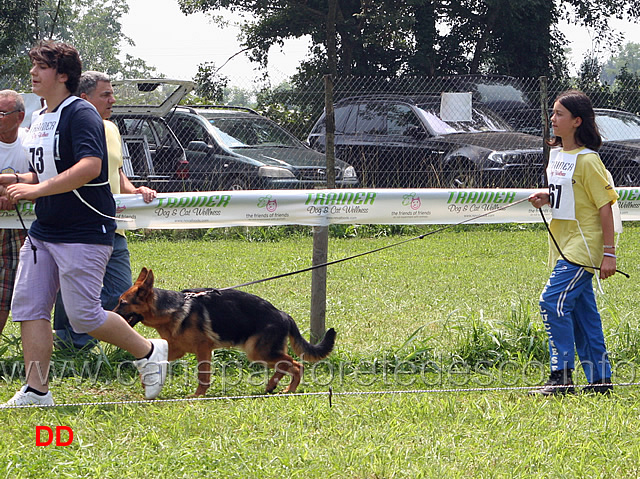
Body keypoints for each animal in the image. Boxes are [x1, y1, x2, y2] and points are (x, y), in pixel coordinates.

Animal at [114, 266, 338, 398]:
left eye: (122, 303)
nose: (111, 314)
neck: (173, 308)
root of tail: (284, 315)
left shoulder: (203, 349)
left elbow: (203, 376)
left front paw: (197, 396)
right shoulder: (177, 349)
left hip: (258, 352)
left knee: (296, 365)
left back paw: (289, 390)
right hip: (261, 352)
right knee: (286, 365)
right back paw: (272, 387)